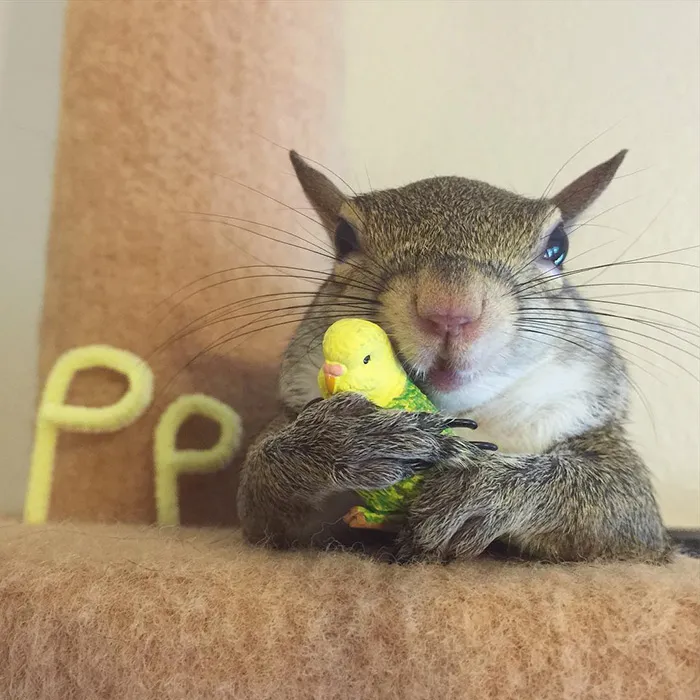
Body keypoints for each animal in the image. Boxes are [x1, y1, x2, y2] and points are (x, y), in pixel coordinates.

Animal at [236, 148, 674, 563]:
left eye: (558, 246)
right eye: (344, 239)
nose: (449, 307)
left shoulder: (601, 444)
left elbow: (618, 501)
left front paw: (485, 488)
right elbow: (261, 498)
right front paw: (341, 441)